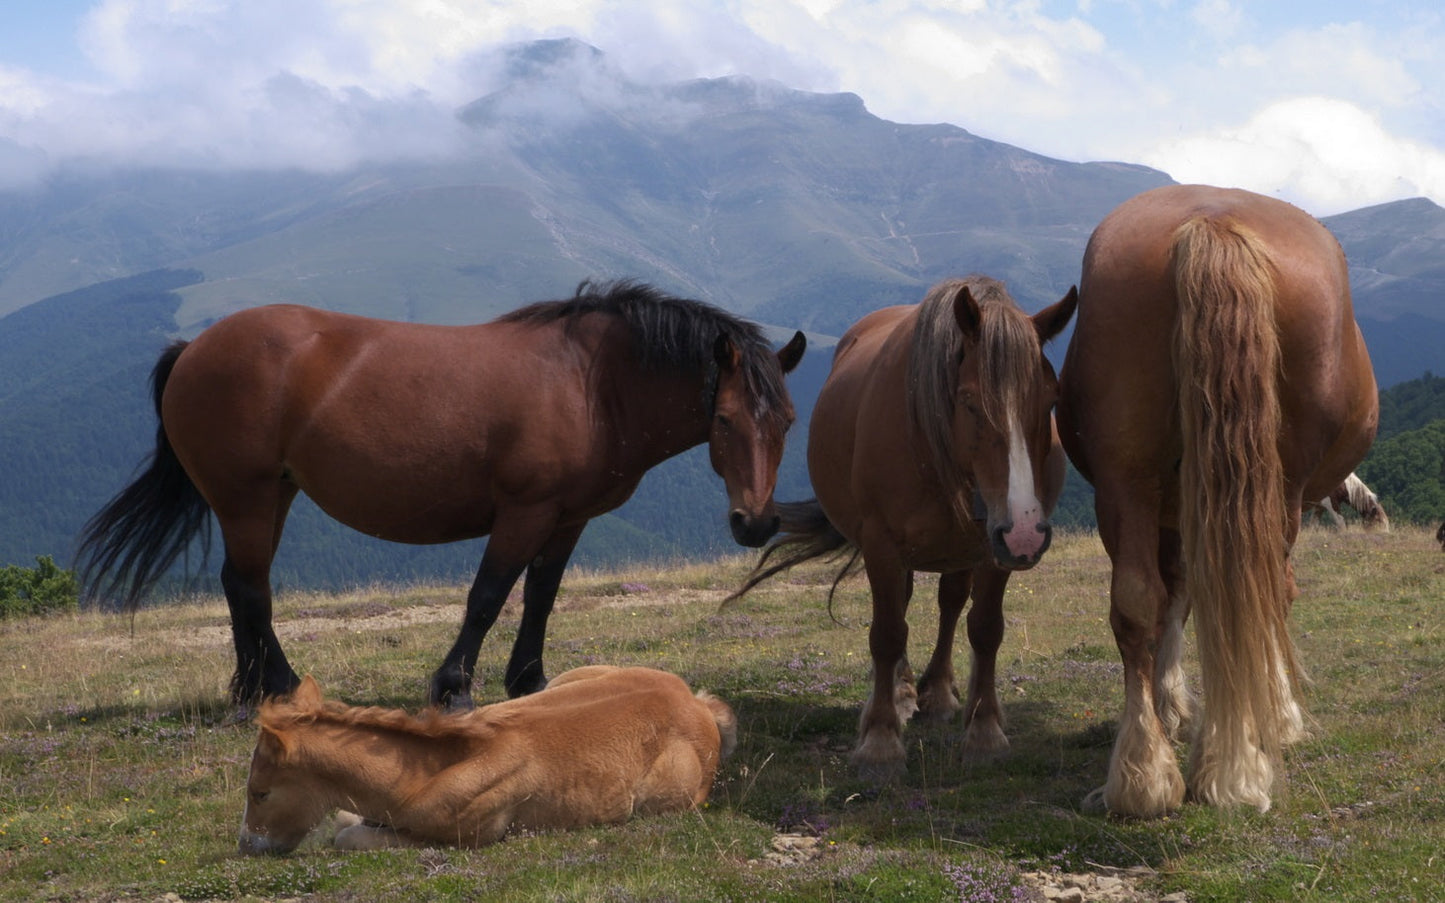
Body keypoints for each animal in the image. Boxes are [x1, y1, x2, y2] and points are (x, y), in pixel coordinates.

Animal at [78, 281, 805, 710]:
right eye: (723, 421)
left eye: (789, 422)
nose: (754, 523)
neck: (592, 383)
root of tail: (193, 347)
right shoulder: (524, 510)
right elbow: (487, 595)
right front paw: (453, 687)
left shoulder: (567, 518)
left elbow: (540, 597)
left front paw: (530, 680)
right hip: (246, 497)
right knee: (251, 588)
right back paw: (278, 688)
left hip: (271, 495)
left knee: (237, 584)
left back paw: (251, 688)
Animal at [237, 666, 736, 854]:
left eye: (260, 793)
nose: (247, 845)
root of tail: (695, 702)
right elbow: (346, 820)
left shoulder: (467, 837)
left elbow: (350, 836)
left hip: (670, 800)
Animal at [728, 276, 1077, 775]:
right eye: (969, 401)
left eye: (1051, 400)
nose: (1027, 531)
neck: (931, 440)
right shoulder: (883, 545)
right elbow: (888, 632)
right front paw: (880, 740)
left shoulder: (996, 547)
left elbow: (985, 628)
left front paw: (985, 730)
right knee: (904, 608)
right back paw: (902, 693)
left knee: (951, 604)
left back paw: (942, 693)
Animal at [1055, 184, 1379, 818]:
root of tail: (1212, 222)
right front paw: (1273, 716)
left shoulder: (1174, 508)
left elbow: (1175, 596)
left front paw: (1172, 708)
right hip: (1279, 487)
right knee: (1264, 590)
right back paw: (1234, 762)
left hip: (1126, 479)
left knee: (1137, 600)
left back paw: (1143, 776)